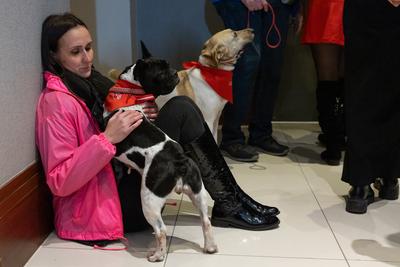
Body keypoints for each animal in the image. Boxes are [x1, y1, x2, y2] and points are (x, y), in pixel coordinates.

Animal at [102, 59, 216, 262]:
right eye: (162, 71)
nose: (174, 72)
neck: (131, 91)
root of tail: (179, 161)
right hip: (198, 193)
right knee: (205, 220)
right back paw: (210, 247)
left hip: (149, 200)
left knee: (161, 230)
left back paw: (157, 255)